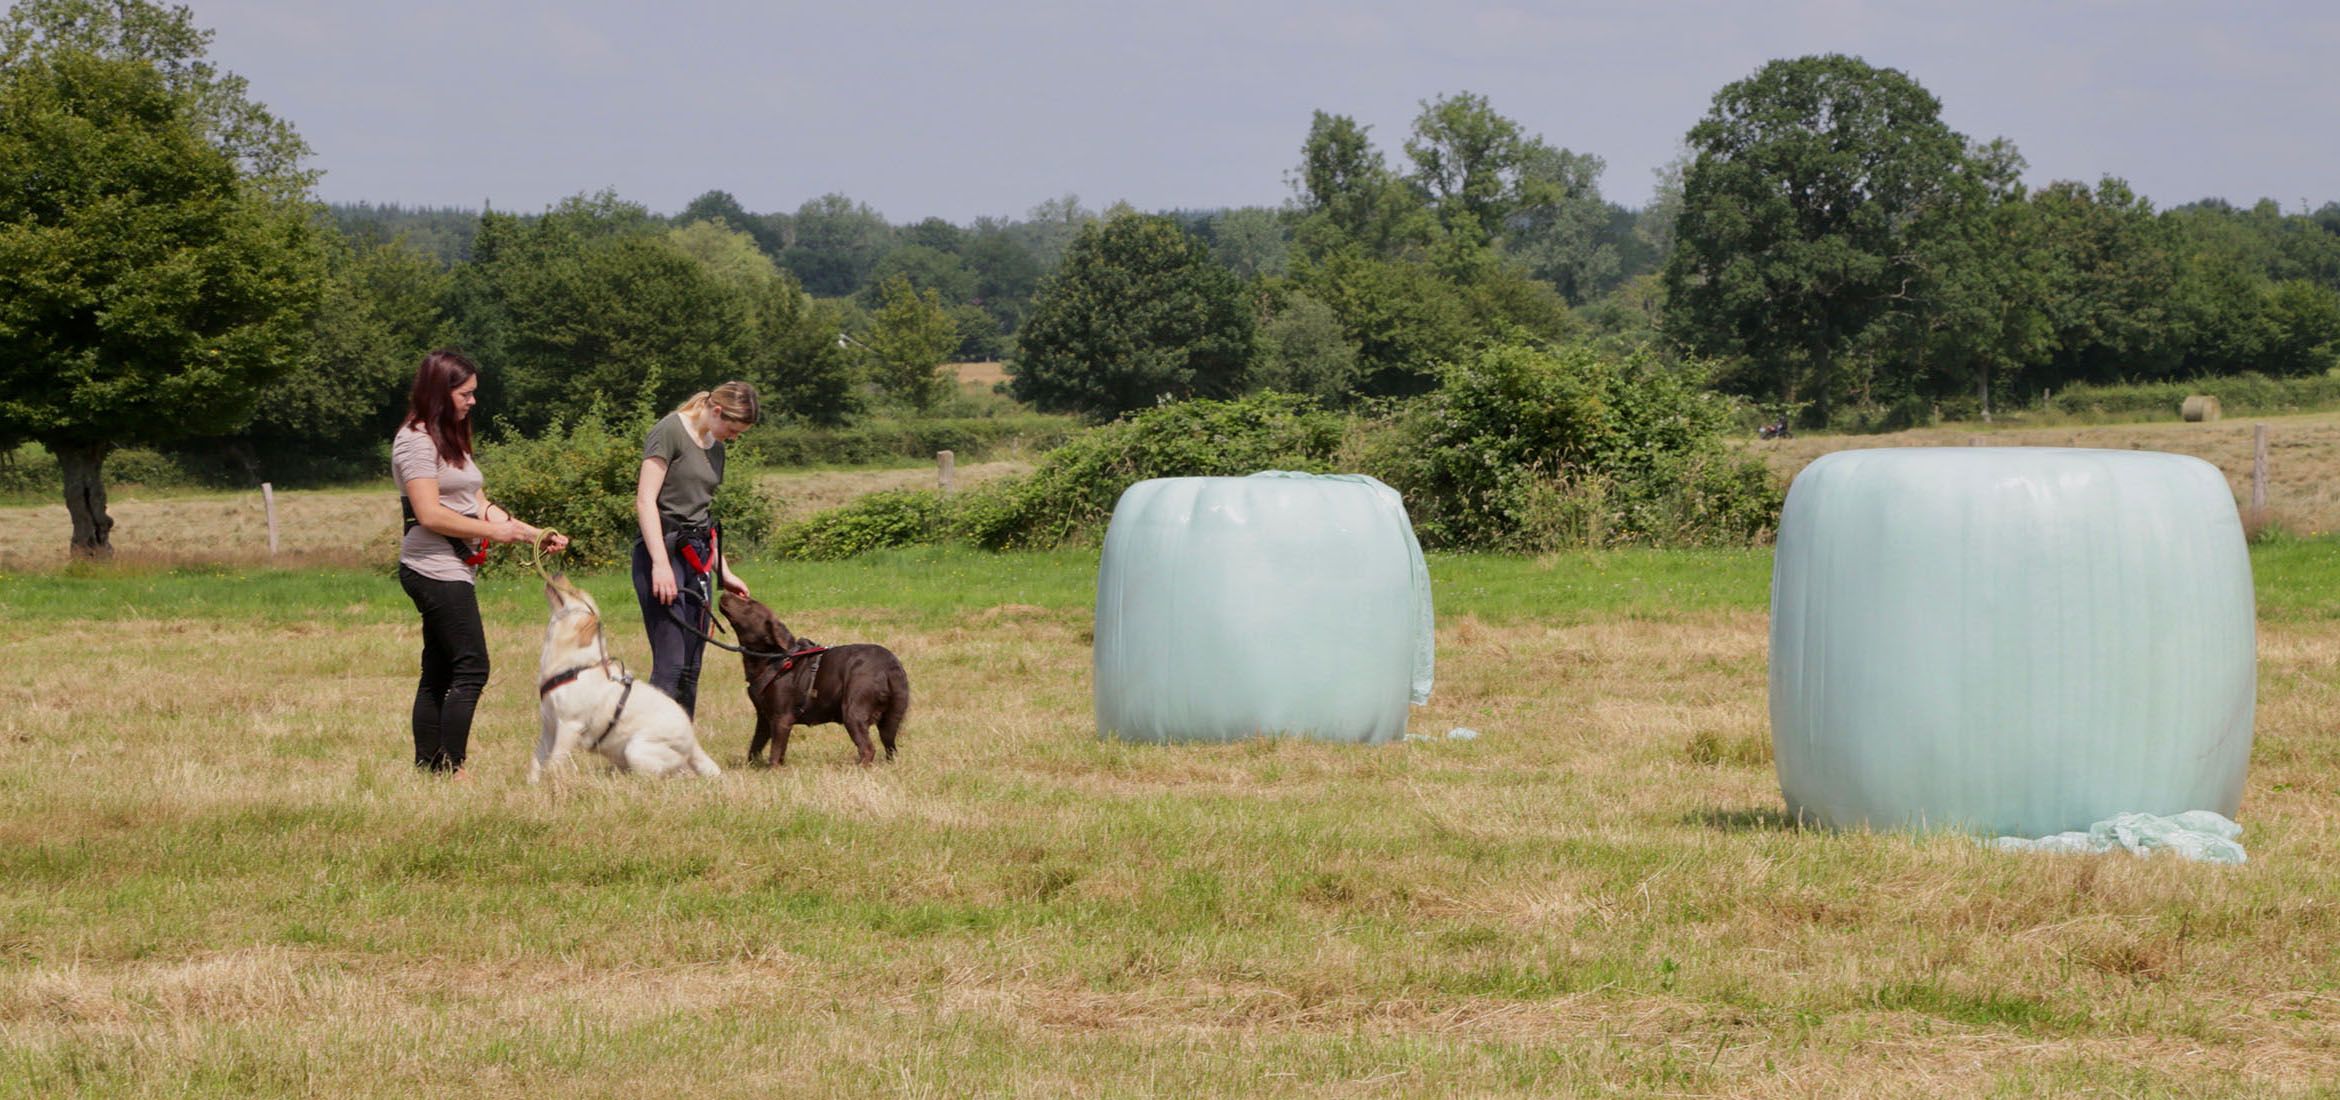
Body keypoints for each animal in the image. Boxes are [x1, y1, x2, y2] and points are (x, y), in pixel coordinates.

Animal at [533, 575, 720, 781]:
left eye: (575, 592)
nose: (557, 573)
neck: (574, 666)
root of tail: (693, 742)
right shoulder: (548, 727)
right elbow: (536, 761)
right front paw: (533, 784)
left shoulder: (569, 726)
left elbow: (553, 763)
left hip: (636, 749)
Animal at [716, 592, 907, 762]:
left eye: (750, 603)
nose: (725, 591)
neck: (773, 658)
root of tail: (889, 666)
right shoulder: (763, 718)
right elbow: (755, 747)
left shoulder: (781, 718)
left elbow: (775, 752)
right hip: (892, 717)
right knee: (891, 747)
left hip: (853, 709)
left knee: (868, 749)